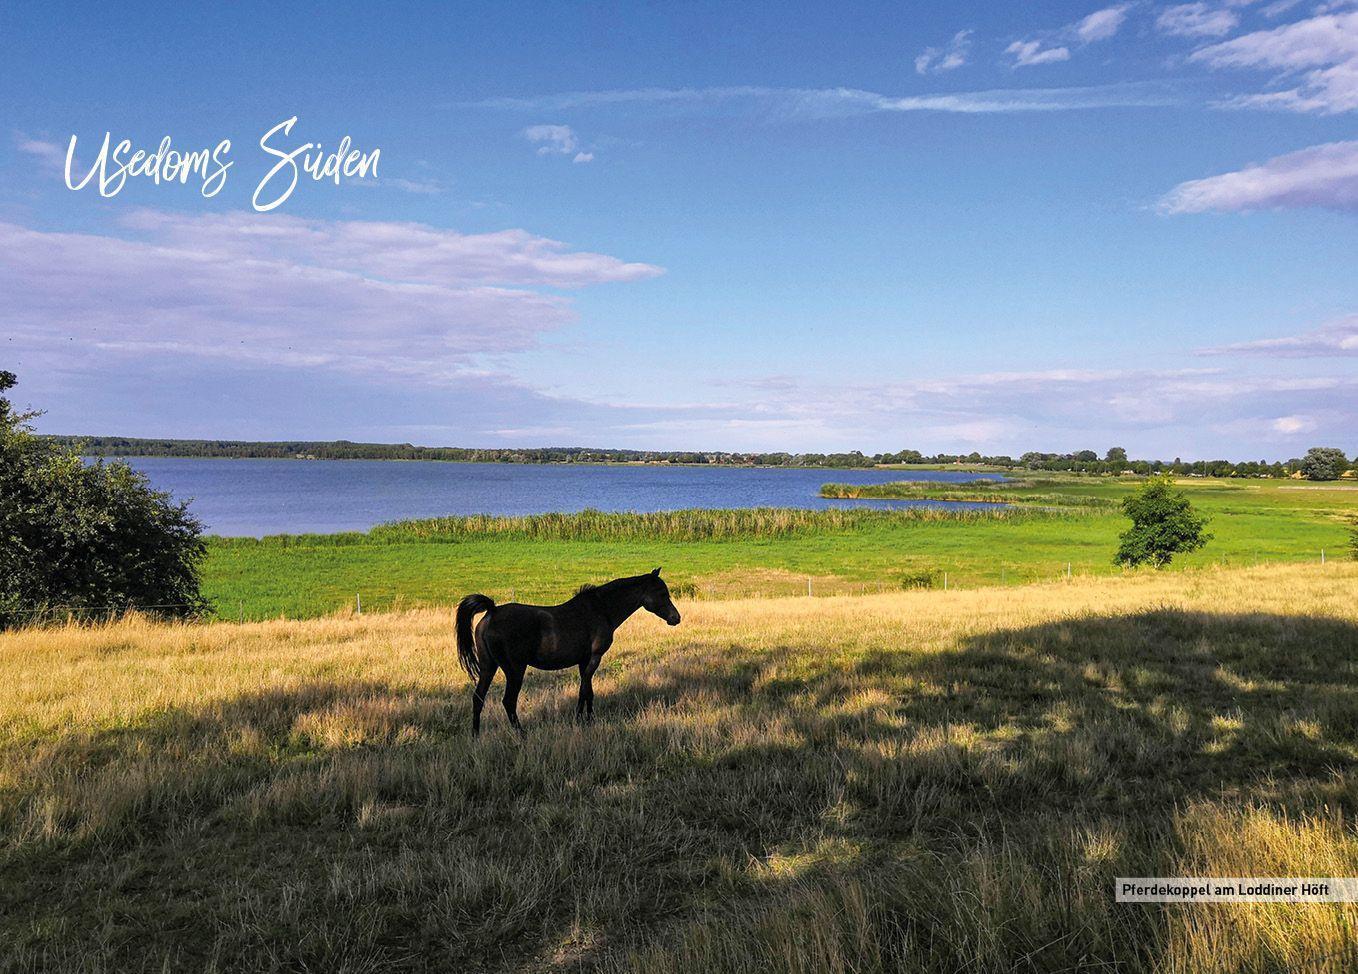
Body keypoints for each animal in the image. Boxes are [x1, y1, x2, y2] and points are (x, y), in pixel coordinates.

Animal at [456, 565, 684, 733]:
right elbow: (584, 691)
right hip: (514, 670)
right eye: (661, 593)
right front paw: (579, 720)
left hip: (489, 667)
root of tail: (492, 612)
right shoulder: (594, 658)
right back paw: (521, 734)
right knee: (509, 702)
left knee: (478, 699)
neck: (601, 609)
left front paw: (589, 720)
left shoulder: (584, 661)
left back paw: (476, 736)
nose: (676, 618)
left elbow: (588, 691)